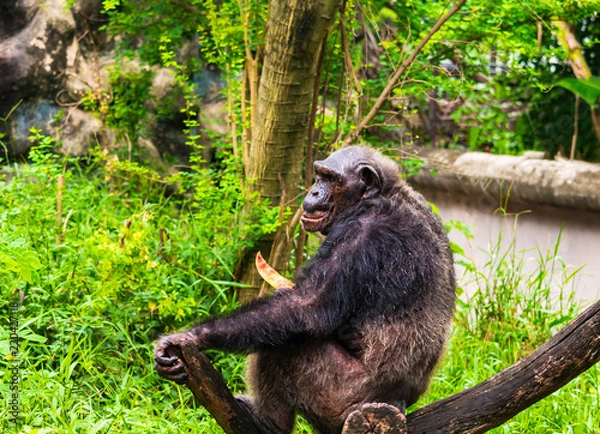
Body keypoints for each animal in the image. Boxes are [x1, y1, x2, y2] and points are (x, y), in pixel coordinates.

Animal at [155, 146, 454, 434]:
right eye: (319, 174)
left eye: (331, 178)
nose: (314, 190)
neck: (380, 196)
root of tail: (397, 405)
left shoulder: (361, 233)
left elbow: (307, 306)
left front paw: (192, 337)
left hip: (339, 395)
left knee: (286, 345)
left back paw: (267, 423)